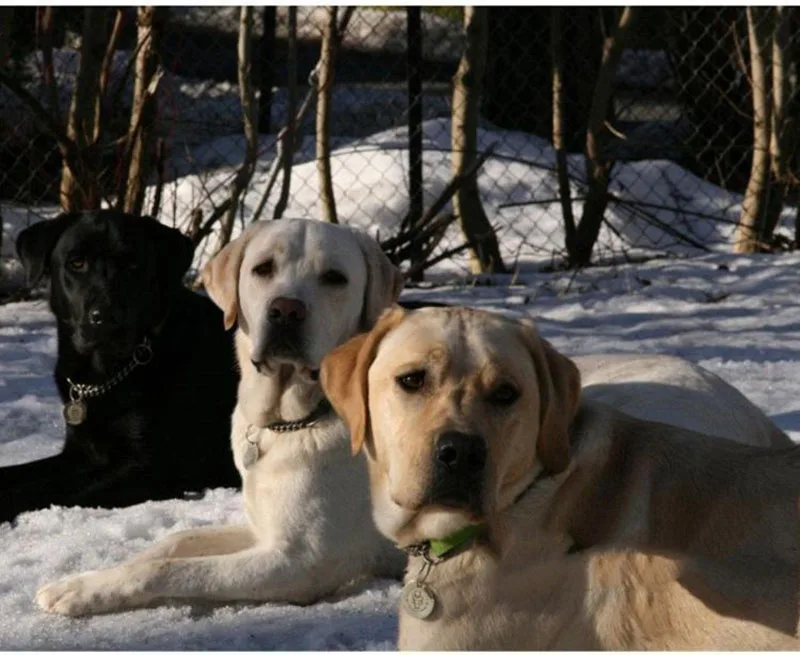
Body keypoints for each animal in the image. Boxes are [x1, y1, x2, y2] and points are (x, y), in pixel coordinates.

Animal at [3, 210, 241, 524]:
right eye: (76, 263)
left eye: (133, 265)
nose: (105, 317)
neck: (104, 372)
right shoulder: (79, 452)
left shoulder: (147, 467)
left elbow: (48, 488)